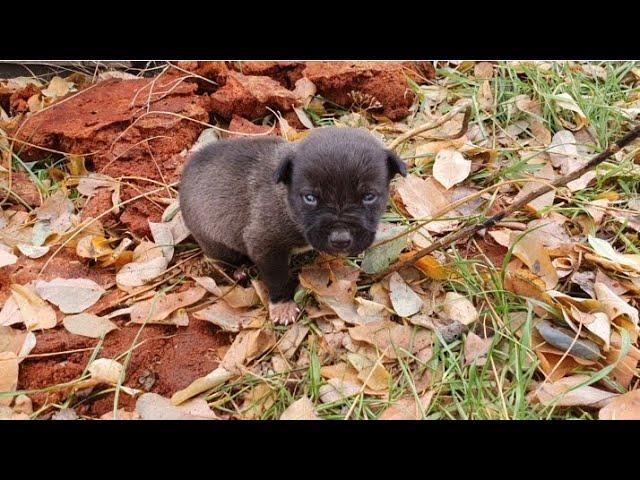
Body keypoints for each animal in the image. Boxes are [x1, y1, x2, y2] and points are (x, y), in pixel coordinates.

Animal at [179, 126, 404, 326]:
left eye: (369, 197)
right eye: (310, 198)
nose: (340, 240)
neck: (287, 203)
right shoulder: (264, 245)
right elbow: (277, 277)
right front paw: (282, 305)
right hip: (215, 243)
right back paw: (238, 270)